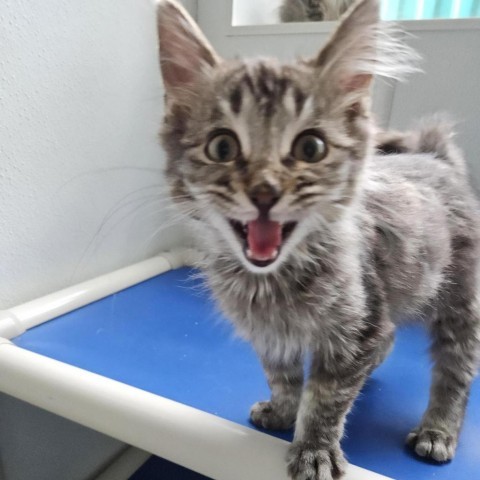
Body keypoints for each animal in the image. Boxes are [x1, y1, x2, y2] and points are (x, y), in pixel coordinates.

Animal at [158, 0, 480, 480]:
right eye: (222, 147)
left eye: (310, 148)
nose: (265, 192)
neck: (273, 282)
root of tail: (434, 155)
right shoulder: (272, 334)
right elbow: (283, 376)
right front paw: (282, 411)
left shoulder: (356, 324)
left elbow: (327, 396)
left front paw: (314, 450)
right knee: (390, 339)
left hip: (460, 302)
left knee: (455, 372)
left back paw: (438, 429)